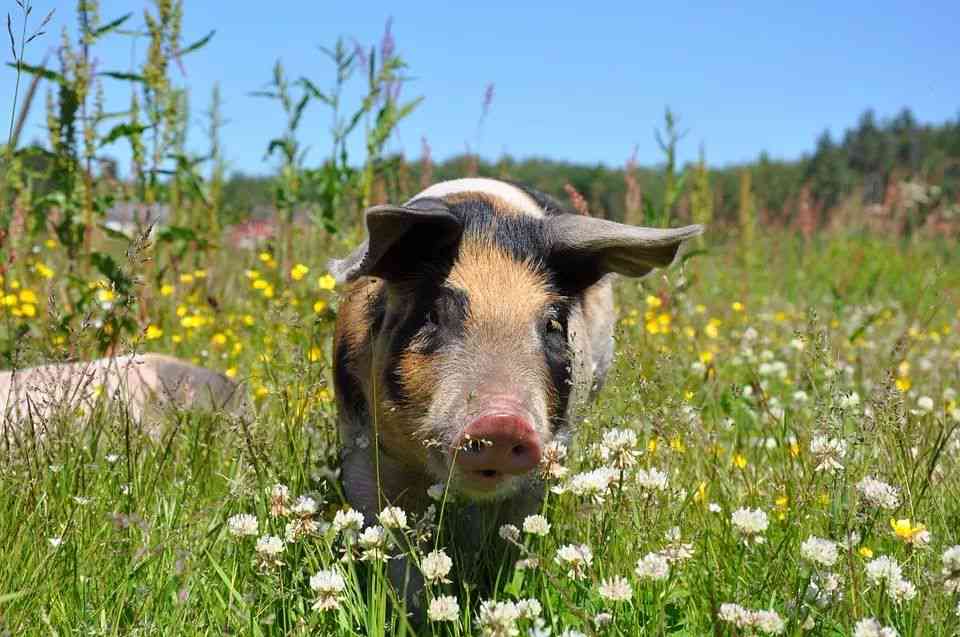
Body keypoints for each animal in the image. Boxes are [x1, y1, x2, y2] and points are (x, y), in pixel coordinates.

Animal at [328, 178, 696, 600]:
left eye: (552, 324)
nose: (502, 421)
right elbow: (390, 541)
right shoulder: (360, 442)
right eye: (433, 314)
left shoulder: (548, 454)